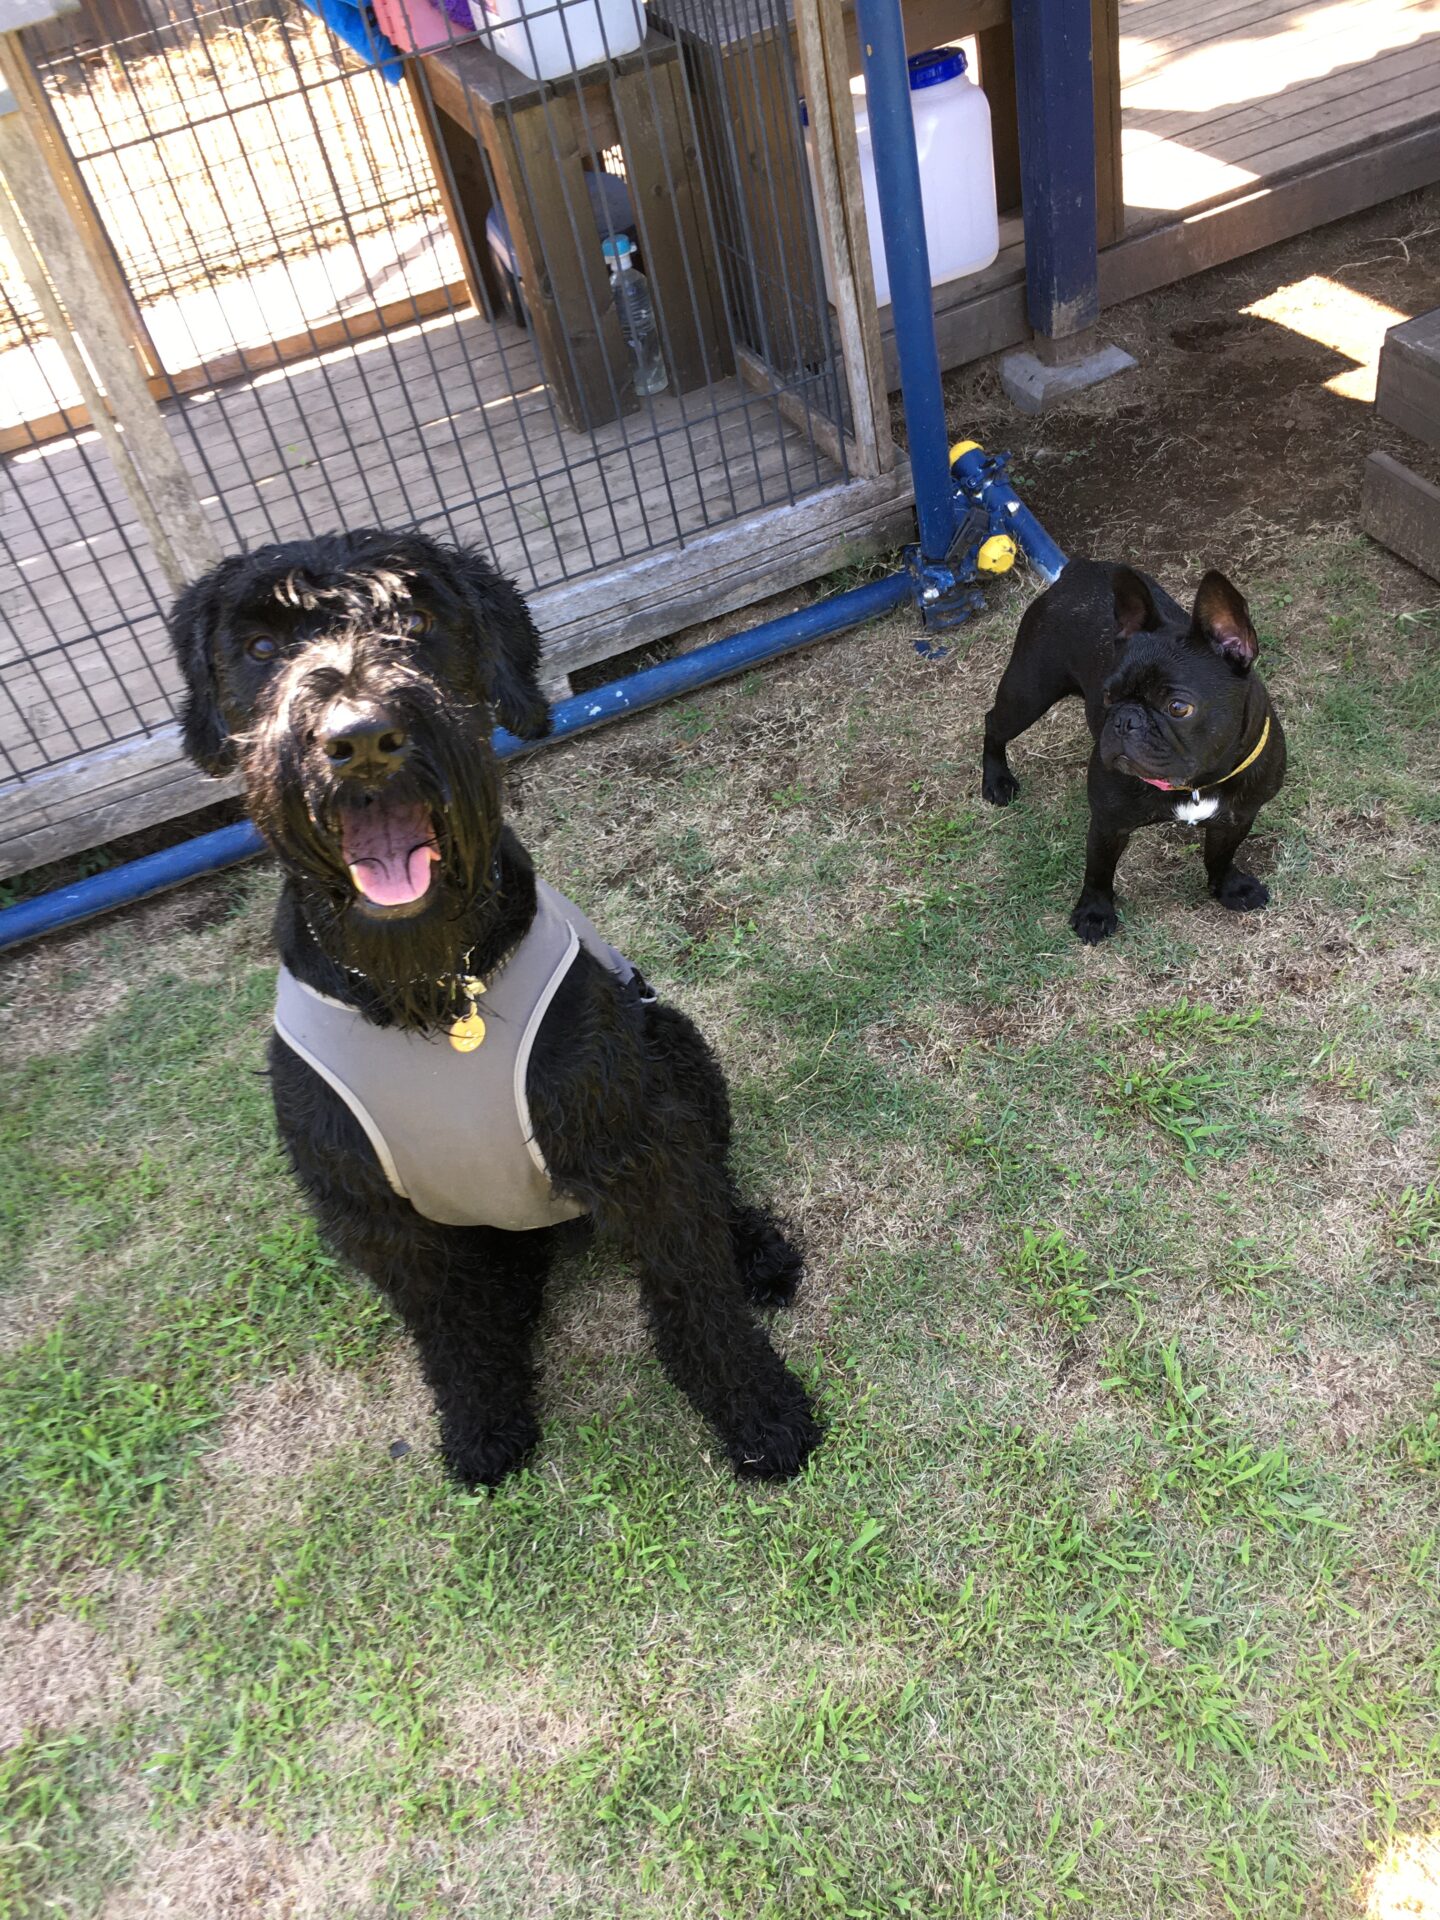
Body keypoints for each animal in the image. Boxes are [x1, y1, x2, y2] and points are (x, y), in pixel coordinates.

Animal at [168, 528, 821, 1487]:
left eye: (416, 620)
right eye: (259, 647)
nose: (361, 738)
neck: (427, 995)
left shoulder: (633, 1145)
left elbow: (695, 1294)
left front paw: (759, 1413)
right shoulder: (378, 1216)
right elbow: (451, 1332)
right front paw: (483, 1425)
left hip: (673, 1044)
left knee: (714, 1183)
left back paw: (755, 1250)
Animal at [981, 560, 1286, 943]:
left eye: (1178, 707)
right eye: (1108, 695)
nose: (1125, 720)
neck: (1198, 782)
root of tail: (1078, 568)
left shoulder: (1240, 815)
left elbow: (1221, 855)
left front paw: (1229, 887)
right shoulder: (1108, 824)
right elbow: (1099, 871)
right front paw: (1095, 913)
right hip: (1028, 693)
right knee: (994, 724)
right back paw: (996, 780)